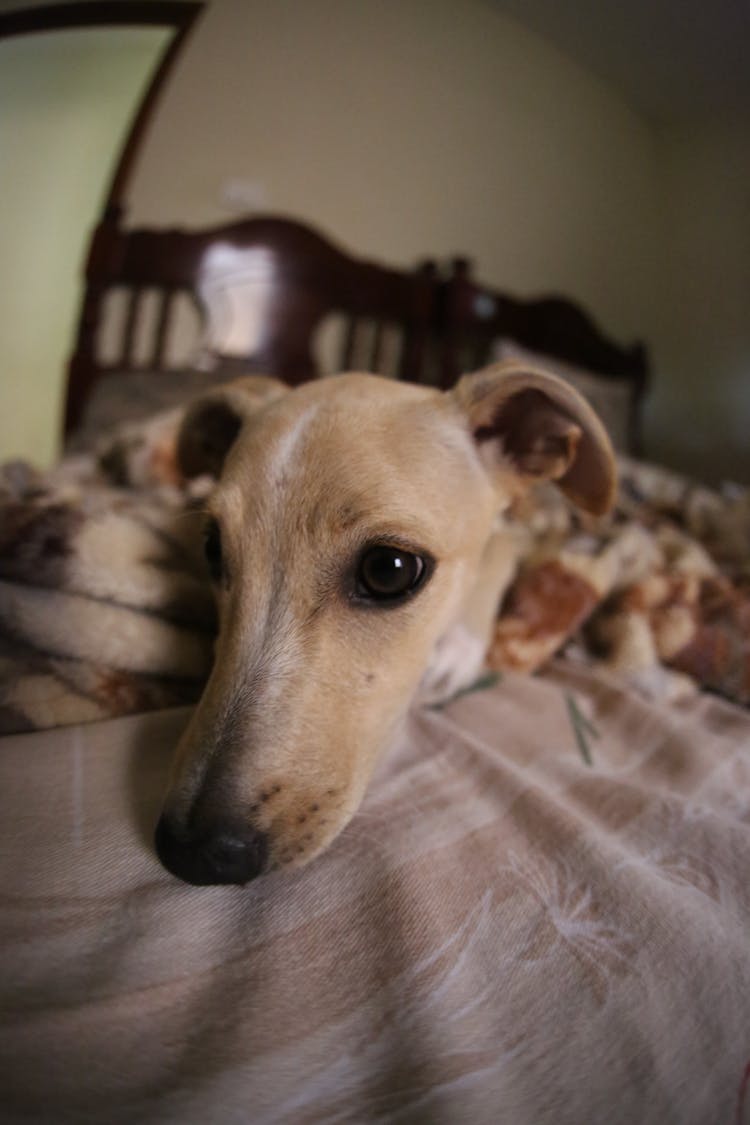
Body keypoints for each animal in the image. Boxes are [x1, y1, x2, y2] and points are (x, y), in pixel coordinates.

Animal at [154, 364, 616, 882]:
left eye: (389, 570)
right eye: (212, 550)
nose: (191, 852)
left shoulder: (511, 539)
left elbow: (501, 552)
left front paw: (457, 647)